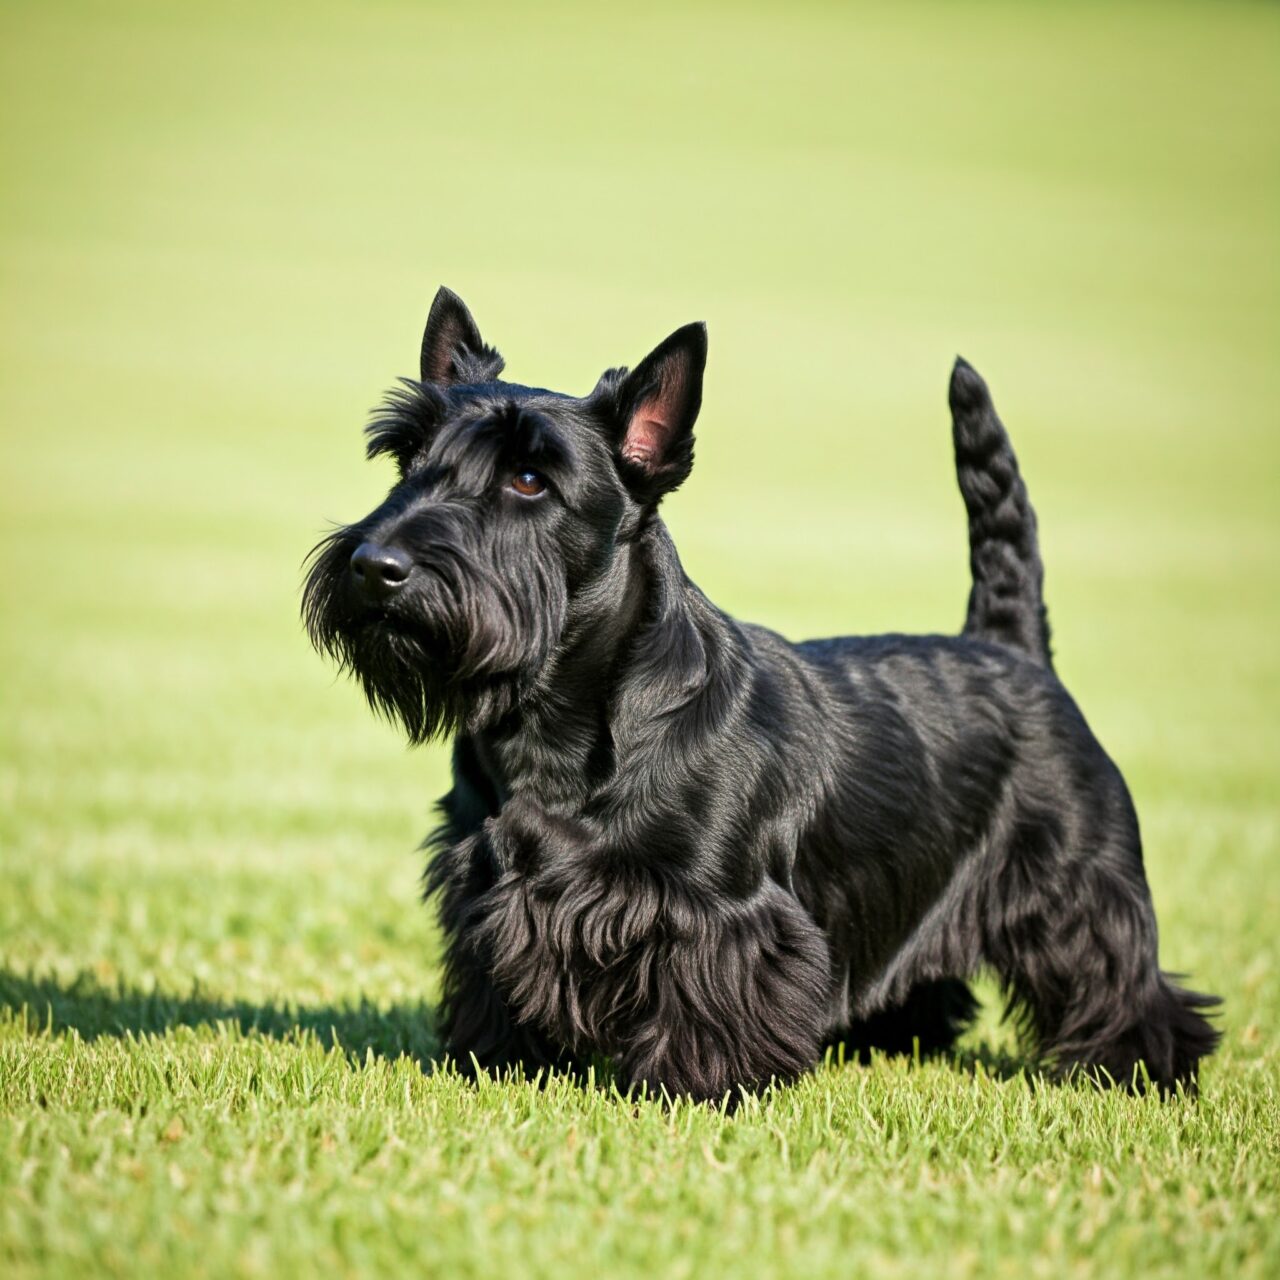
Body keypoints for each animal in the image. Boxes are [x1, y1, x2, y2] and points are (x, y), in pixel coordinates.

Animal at [302, 290, 1218, 1100]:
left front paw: (696, 1083)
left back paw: (1140, 1064)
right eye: (406, 458)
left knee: (1118, 975)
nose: (376, 566)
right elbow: (498, 977)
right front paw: (500, 1059)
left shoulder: (724, 912)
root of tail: (1010, 644)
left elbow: (710, 994)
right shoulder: (489, 887)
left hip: (1076, 881)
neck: (556, 723)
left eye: (529, 480)